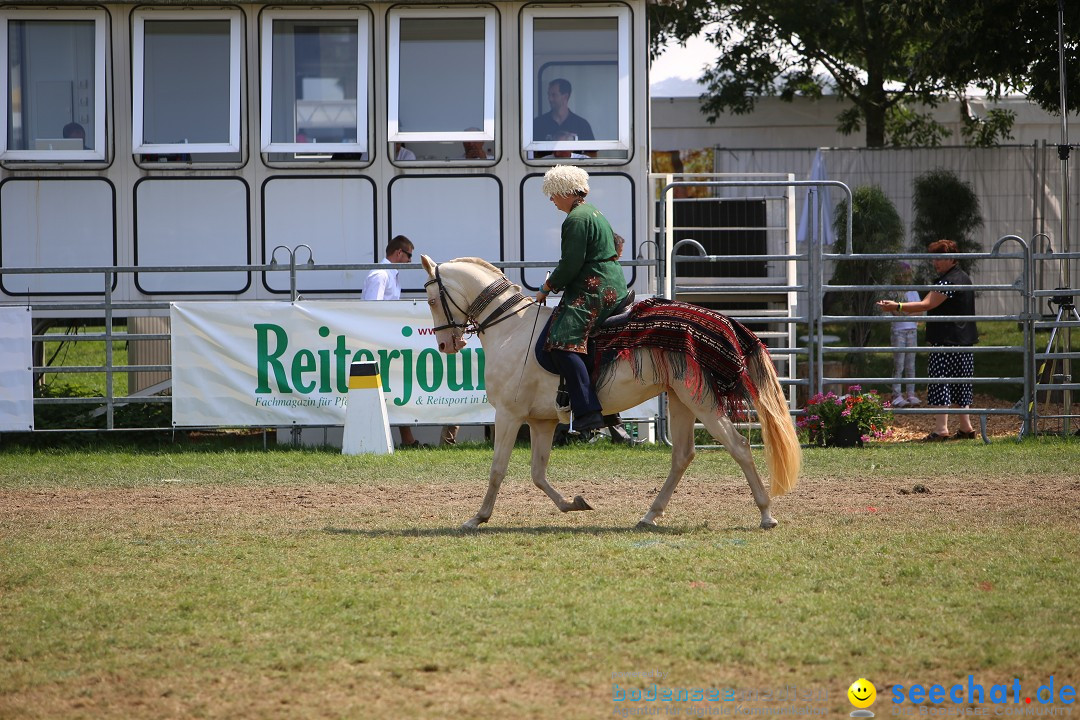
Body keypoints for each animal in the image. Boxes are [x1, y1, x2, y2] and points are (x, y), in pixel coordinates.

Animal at [421, 254, 803, 528]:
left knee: (739, 447)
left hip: (702, 402)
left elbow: (498, 469)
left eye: (431, 298)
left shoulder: (509, 415)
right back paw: (649, 516)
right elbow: (538, 474)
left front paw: (478, 517)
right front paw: (573, 503)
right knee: (682, 456)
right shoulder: (541, 422)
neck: (511, 328)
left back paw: (766, 514)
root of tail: (722, 322)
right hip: (682, 400)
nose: (445, 344)